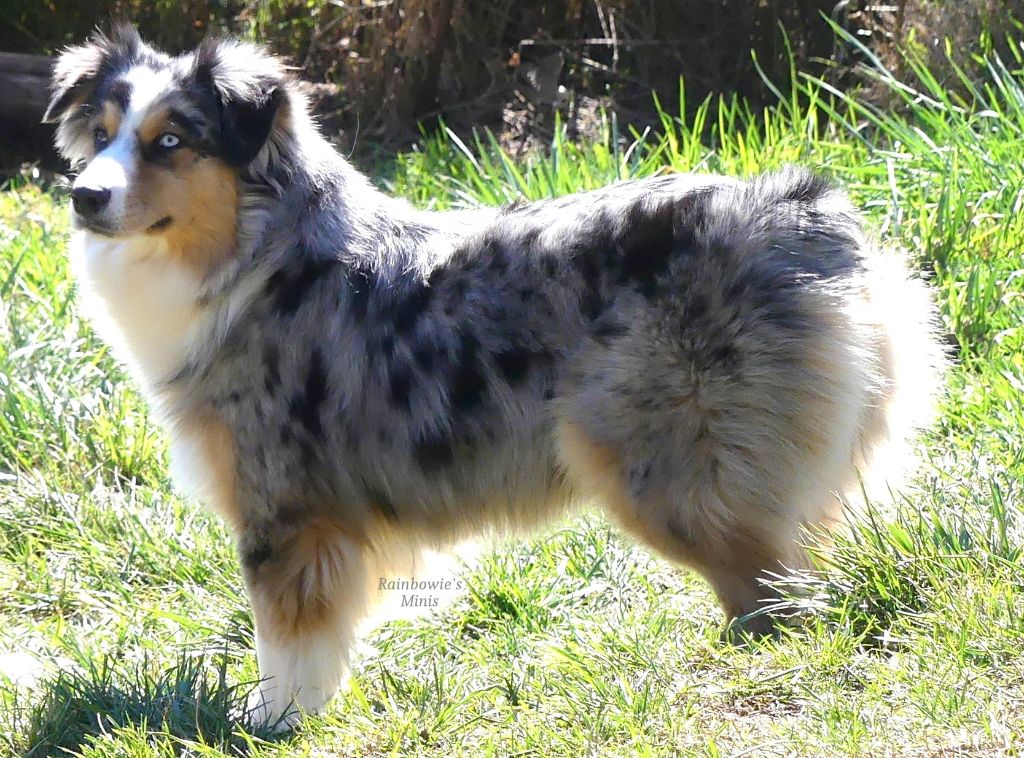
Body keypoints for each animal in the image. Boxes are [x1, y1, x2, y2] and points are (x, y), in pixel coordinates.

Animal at [45, 26, 945, 729]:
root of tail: (802, 210)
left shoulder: (286, 511)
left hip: (675, 479)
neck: (255, 256)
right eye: (103, 134)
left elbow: (287, 641)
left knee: (781, 601)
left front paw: (273, 723)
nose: (85, 196)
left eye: (172, 141)